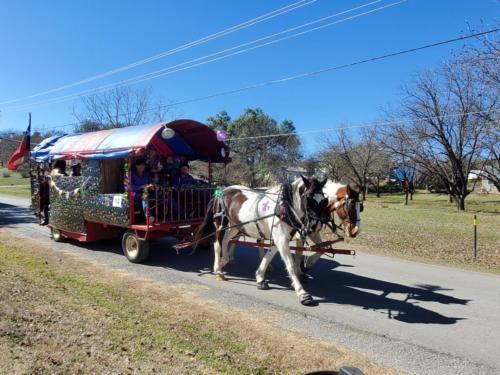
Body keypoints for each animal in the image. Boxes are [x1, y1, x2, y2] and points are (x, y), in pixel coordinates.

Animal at [194, 178, 328, 306]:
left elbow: (268, 257)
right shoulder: (281, 239)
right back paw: (218, 269)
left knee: (226, 241)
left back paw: (225, 261)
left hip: (235, 226)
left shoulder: (279, 239)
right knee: (217, 244)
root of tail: (221, 191)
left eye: (324, 201)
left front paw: (260, 278)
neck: (284, 208)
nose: (315, 226)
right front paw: (302, 293)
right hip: (221, 225)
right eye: (308, 199)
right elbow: (290, 265)